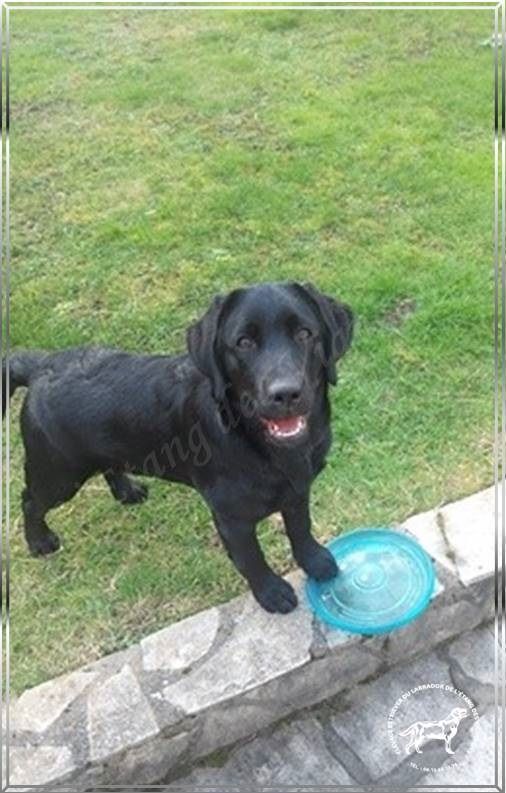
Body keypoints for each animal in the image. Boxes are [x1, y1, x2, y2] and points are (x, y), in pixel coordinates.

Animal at [1, 280, 354, 612]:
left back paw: (127, 491)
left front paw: (316, 561)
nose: (285, 393)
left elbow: (301, 527)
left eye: (305, 333)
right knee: (29, 501)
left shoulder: (297, 490)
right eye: (243, 342)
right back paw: (39, 542)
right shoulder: (231, 518)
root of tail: (41, 365)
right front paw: (271, 593)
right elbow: (251, 558)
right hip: (58, 475)